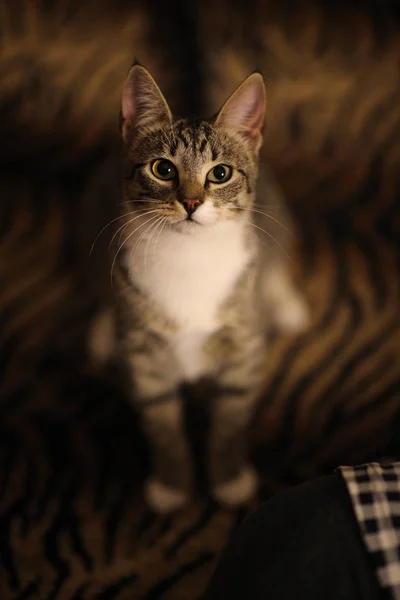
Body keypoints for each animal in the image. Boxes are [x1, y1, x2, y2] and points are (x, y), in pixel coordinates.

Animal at [90, 63, 310, 512]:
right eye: (163, 169)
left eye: (220, 173)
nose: (191, 203)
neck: (188, 256)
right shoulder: (144, 359)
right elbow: (162, 425)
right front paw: (172, 485)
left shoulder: (244, 346)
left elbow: (229, 420)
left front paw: (229, 479)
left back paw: (287, 305)